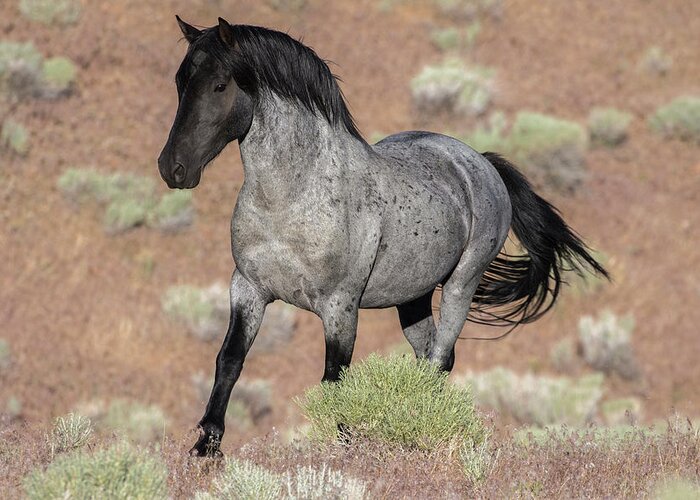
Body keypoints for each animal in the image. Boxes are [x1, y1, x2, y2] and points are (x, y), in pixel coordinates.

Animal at [159, 16, 608, 458]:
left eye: (220, 85)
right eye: (181, 81)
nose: (172, 168)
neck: (291, 198)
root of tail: (480, 162)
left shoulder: (340, 307)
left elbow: (335, 380)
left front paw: (341, 449)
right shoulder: (248, 288)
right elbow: (230, 360)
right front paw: (206, 446)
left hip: (462, 284)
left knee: (441, 357)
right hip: (413, 298)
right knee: (429, 355)